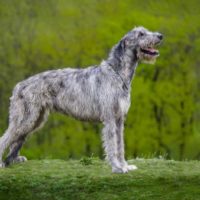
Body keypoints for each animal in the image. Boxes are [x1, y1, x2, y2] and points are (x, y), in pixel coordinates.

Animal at [0, 26, 162, 173]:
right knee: (6, 137)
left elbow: (120, 144)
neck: (117, 73)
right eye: (141, 34)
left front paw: (125, 165)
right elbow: (112, 144)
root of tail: (18, 86)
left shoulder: (119, 118)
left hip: (36, 119)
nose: (160, 35)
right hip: (25, 118)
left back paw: (13, 159)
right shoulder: (109, 117)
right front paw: (117, 167)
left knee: (18, 139)